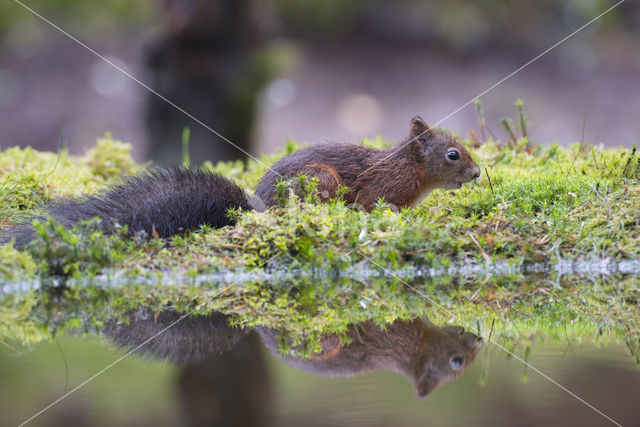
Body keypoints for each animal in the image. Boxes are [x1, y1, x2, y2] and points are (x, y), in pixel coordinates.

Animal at [3, 115, 476, 247]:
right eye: (453, 155)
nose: (476, 174)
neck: (411, 169)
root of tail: (257, 208)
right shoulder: (383, 188)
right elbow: (377, 205)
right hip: (319, 182)